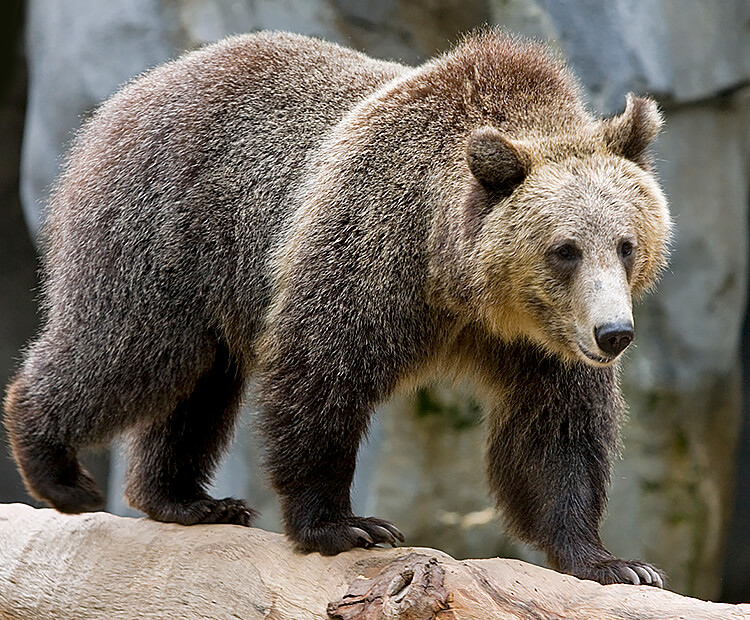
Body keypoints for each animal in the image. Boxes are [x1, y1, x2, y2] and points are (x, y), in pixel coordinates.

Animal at [4, 30, 676, 588]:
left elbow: (556, 436)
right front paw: (344, 525)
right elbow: (321, 378)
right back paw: (56, 466)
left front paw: (611, 562)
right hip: (164, 235)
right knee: (125, 354)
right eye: (565, 249)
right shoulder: (367, 255)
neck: (459, 284)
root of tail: (128, 95)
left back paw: (186, 498)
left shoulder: (541, 342)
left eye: (626, 244)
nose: (614, 333)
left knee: (200, 386)